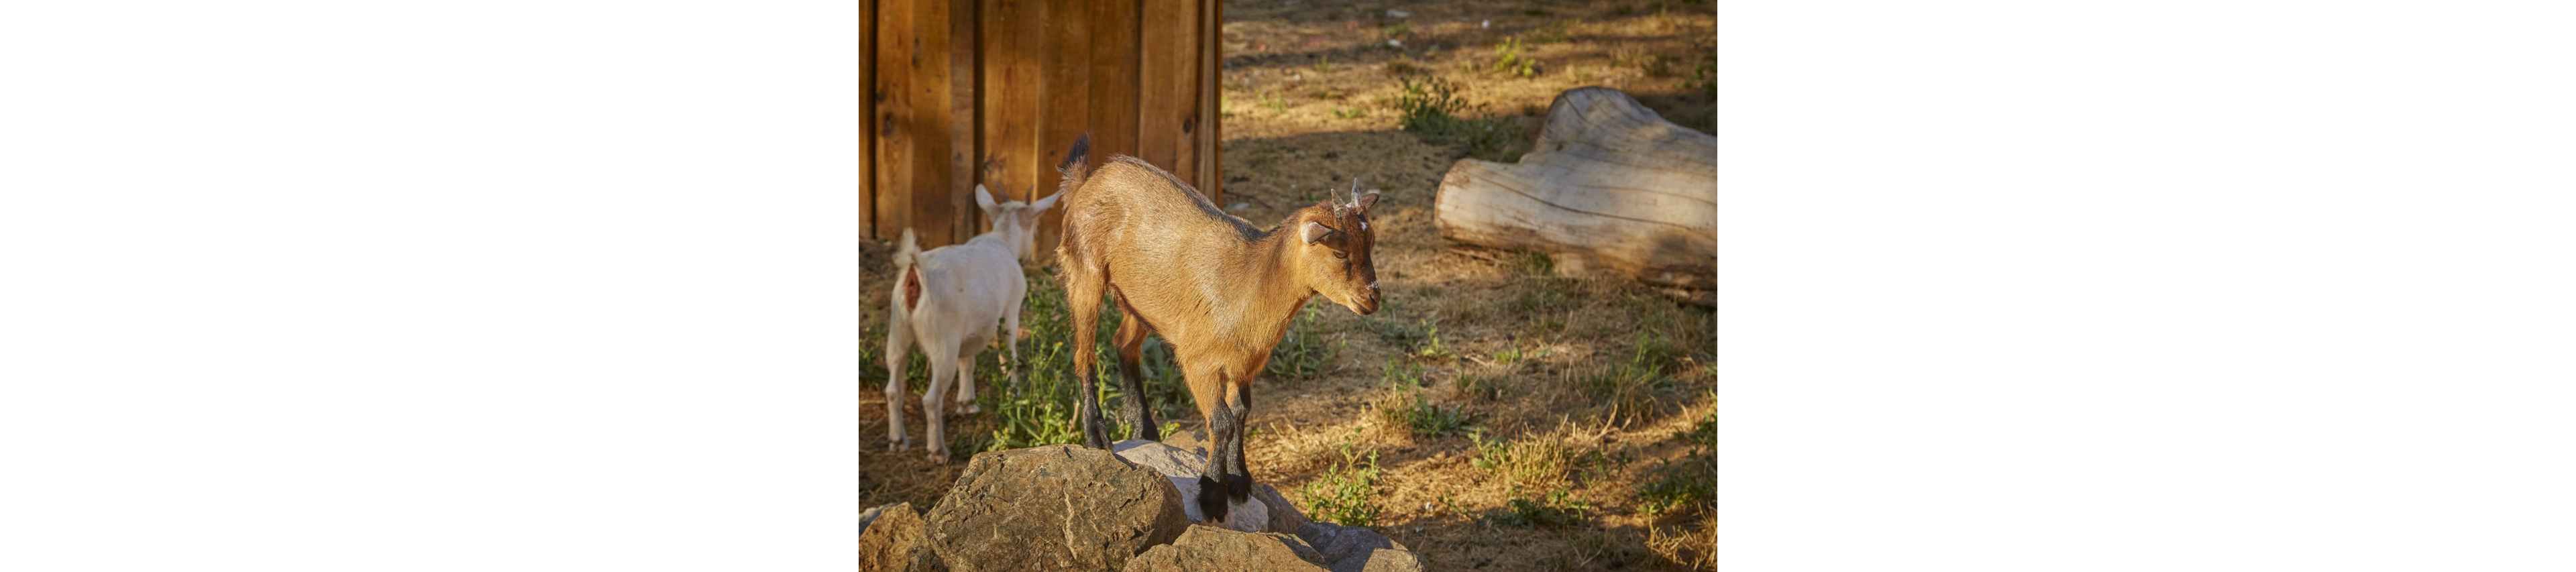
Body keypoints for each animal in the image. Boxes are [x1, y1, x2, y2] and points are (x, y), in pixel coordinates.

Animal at [883, 184, 1060, 461]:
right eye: (1036, 225)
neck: (1002, 239)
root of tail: (915, 274)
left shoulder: (969, 330)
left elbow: (968, 361)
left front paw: (967, 403)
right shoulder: (1010, 310)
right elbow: (1008, 353)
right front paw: (1015, 394)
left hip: (898, 328)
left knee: (893, 387)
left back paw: (898, 441)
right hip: (942, 338)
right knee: (931, 398)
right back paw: (938, 451)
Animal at [1050, 134, 1381, 520]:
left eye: (1371, 243)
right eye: (1340, 253)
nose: (1373, 298)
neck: (1250, 283)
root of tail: (1089, 180)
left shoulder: (1246, 364)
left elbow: (1241, 413)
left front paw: (1239, 479)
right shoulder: (1198, 363)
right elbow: (1221, 421)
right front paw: (1212, 494)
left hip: (1143, 301)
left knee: (1123, 343)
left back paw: (1145, 427)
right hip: (1084, 270)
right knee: (1083, 353)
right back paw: (1096, 436)